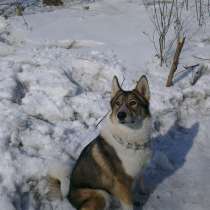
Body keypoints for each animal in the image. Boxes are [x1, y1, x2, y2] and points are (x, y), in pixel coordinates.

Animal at [48, 75, 152, 210]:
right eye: (117, 104)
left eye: (133, 103)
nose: (121, 115)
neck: (131, 139)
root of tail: (68, 194)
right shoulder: (122, 184)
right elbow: (129, 205)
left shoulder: (139, 173)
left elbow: (142, 182)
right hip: (102, 194)